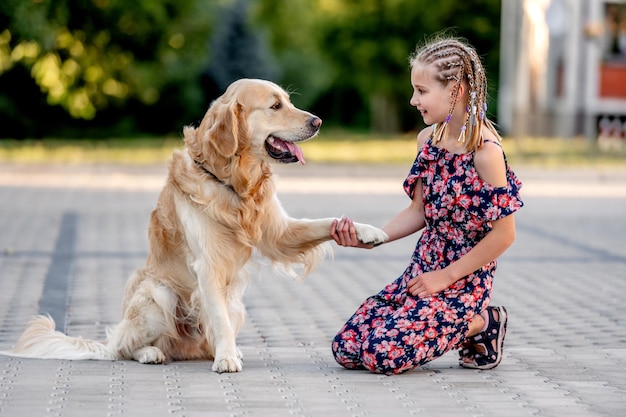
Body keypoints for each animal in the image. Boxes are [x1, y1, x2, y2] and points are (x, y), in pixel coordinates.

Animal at [1, 78, 386, 370]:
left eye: (289, 101)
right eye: (275, 106)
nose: (318, 121)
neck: (233, 183)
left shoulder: (279, 233)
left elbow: (324, 222)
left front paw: (367, 231)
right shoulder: (208, 266)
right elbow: (218, 318)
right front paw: (227, 358)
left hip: (236, 304)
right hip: (157, 293)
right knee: (125, 346)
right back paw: (153, 352)